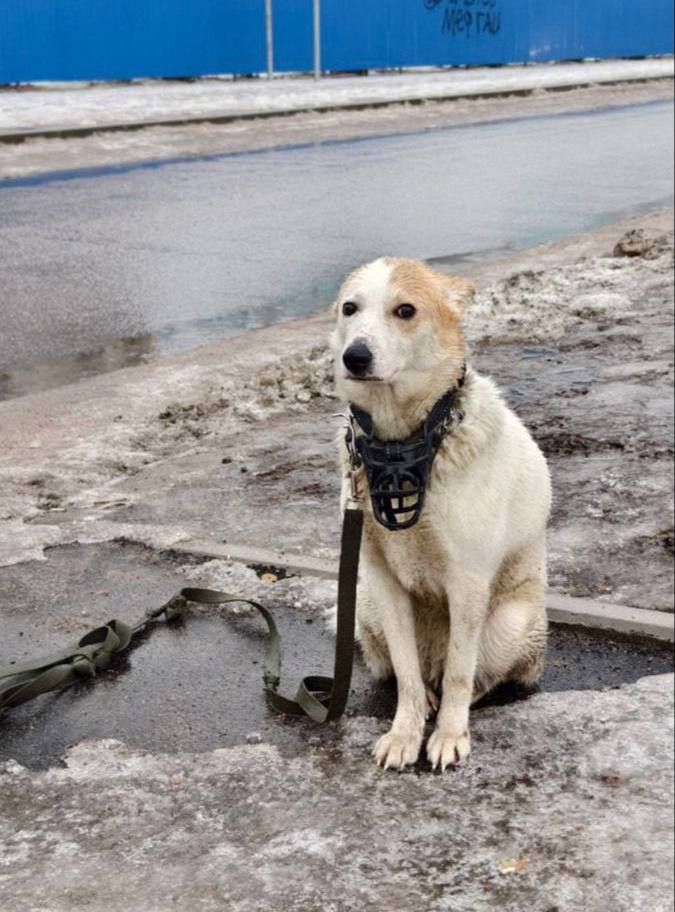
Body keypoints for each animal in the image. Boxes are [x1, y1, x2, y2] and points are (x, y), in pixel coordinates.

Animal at [330, 255, 552, 768]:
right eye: (350, 308)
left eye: (405, 310)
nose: (355, 357)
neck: (401, 445)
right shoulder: (384, 584)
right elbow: (407, 674)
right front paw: (405, 733)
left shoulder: (467, 582)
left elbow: (459, 673)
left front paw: (449, 735)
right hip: (366, 607)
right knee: (416, 672)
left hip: (509, 623)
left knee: (475, 676)